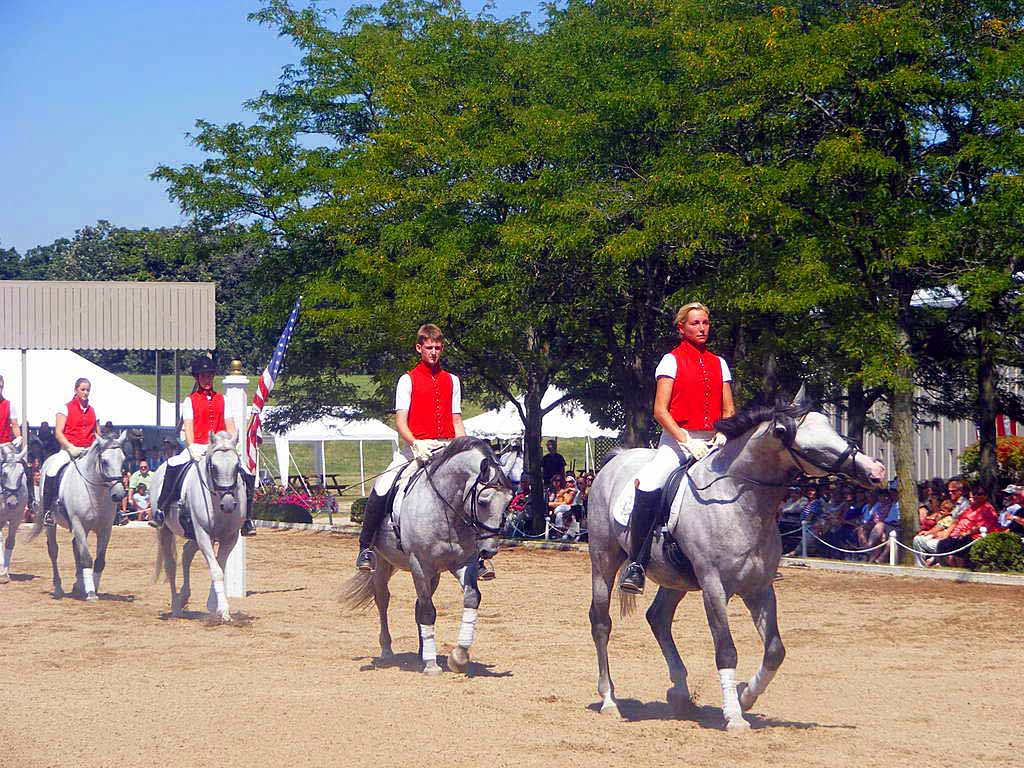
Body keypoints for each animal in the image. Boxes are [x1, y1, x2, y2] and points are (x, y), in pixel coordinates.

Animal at [26, 434, 126, 602]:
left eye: (123, 459)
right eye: (104, 461)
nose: (118, 495)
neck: (94, 492)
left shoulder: (105, 529)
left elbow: (99, 561)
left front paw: (93, 587)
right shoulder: (78, 524)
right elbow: (86, 558)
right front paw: (91, 593)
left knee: (75, 547)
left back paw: (78, 585)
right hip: (51, 524)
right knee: (53, 550)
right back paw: (59, 589)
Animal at [151, 434, 245, 626]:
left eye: (237, 466)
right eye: (213, 467)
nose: (229, 504)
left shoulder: (230, 538)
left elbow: (219, 568)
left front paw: (215, 605)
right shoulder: (203, 534)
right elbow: (216, 571)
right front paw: (224, 611)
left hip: (193, 536)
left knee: (186, 554)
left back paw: (183, 597)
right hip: (165, 531)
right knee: (171, 566)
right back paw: (176, 607)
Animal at [342, 436, 520, 675]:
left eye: (509, 501)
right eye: (483, 501)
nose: (489, 551)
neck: (447, 511)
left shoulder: (463, 563)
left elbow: (471, 599)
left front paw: (458, 657)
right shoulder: (420, 564)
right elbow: (428, 611)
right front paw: (432, 665)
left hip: (434, 574)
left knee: (418, 604)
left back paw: (421, 651)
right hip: (383, 563)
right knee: (383, 599)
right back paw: (388, 650)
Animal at [589, 403, 884, 733]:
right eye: (803, 441)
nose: (876, 471)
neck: (738, 500)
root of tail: (616, 460)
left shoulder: (760, 588)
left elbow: (775, 651)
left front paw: (745, 698)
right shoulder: (714, 587)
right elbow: (726, 650)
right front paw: (734, 715)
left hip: (675, 578)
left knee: (658, 618)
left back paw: (680, 694)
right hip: (603, 561)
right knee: (601, 624)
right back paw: (609, 700)